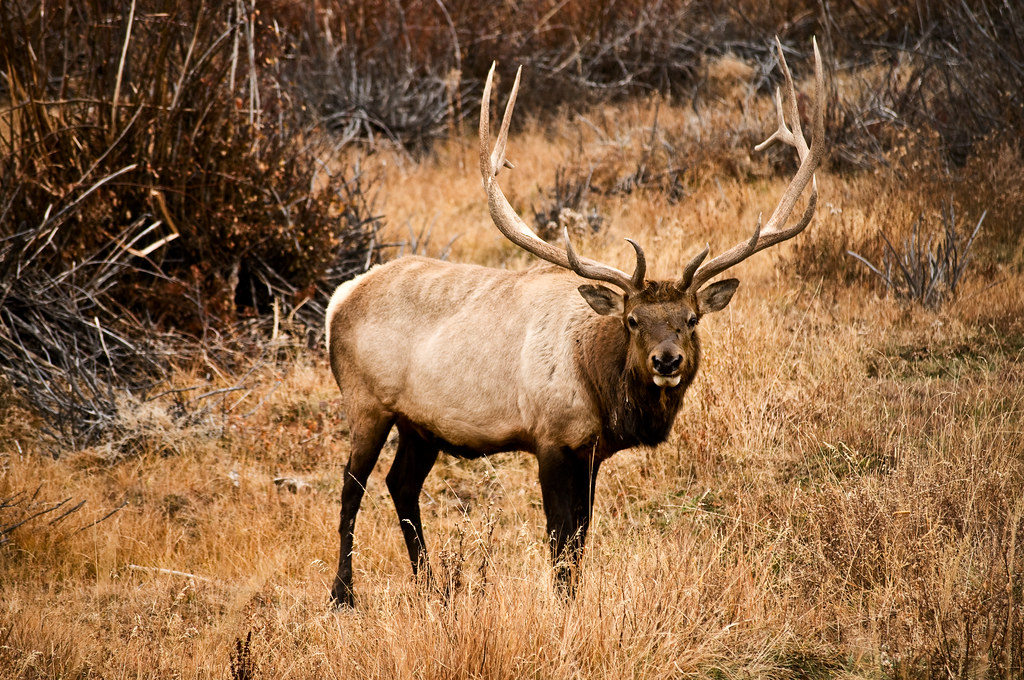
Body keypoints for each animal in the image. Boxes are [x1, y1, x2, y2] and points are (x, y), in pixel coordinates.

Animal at [324, 38, 824, 607]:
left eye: (691, 318)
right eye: (633, 319)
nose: (667, 360)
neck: (601, 389)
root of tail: (339, 298)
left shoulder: (591, 453)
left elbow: (581, 539)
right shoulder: (550, 437)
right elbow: (560, 541)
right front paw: (564, 605)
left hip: (420, 423)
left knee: (401, 485)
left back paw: (433, 587)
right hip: (365, 400)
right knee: (351, 488)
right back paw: (344, 594)